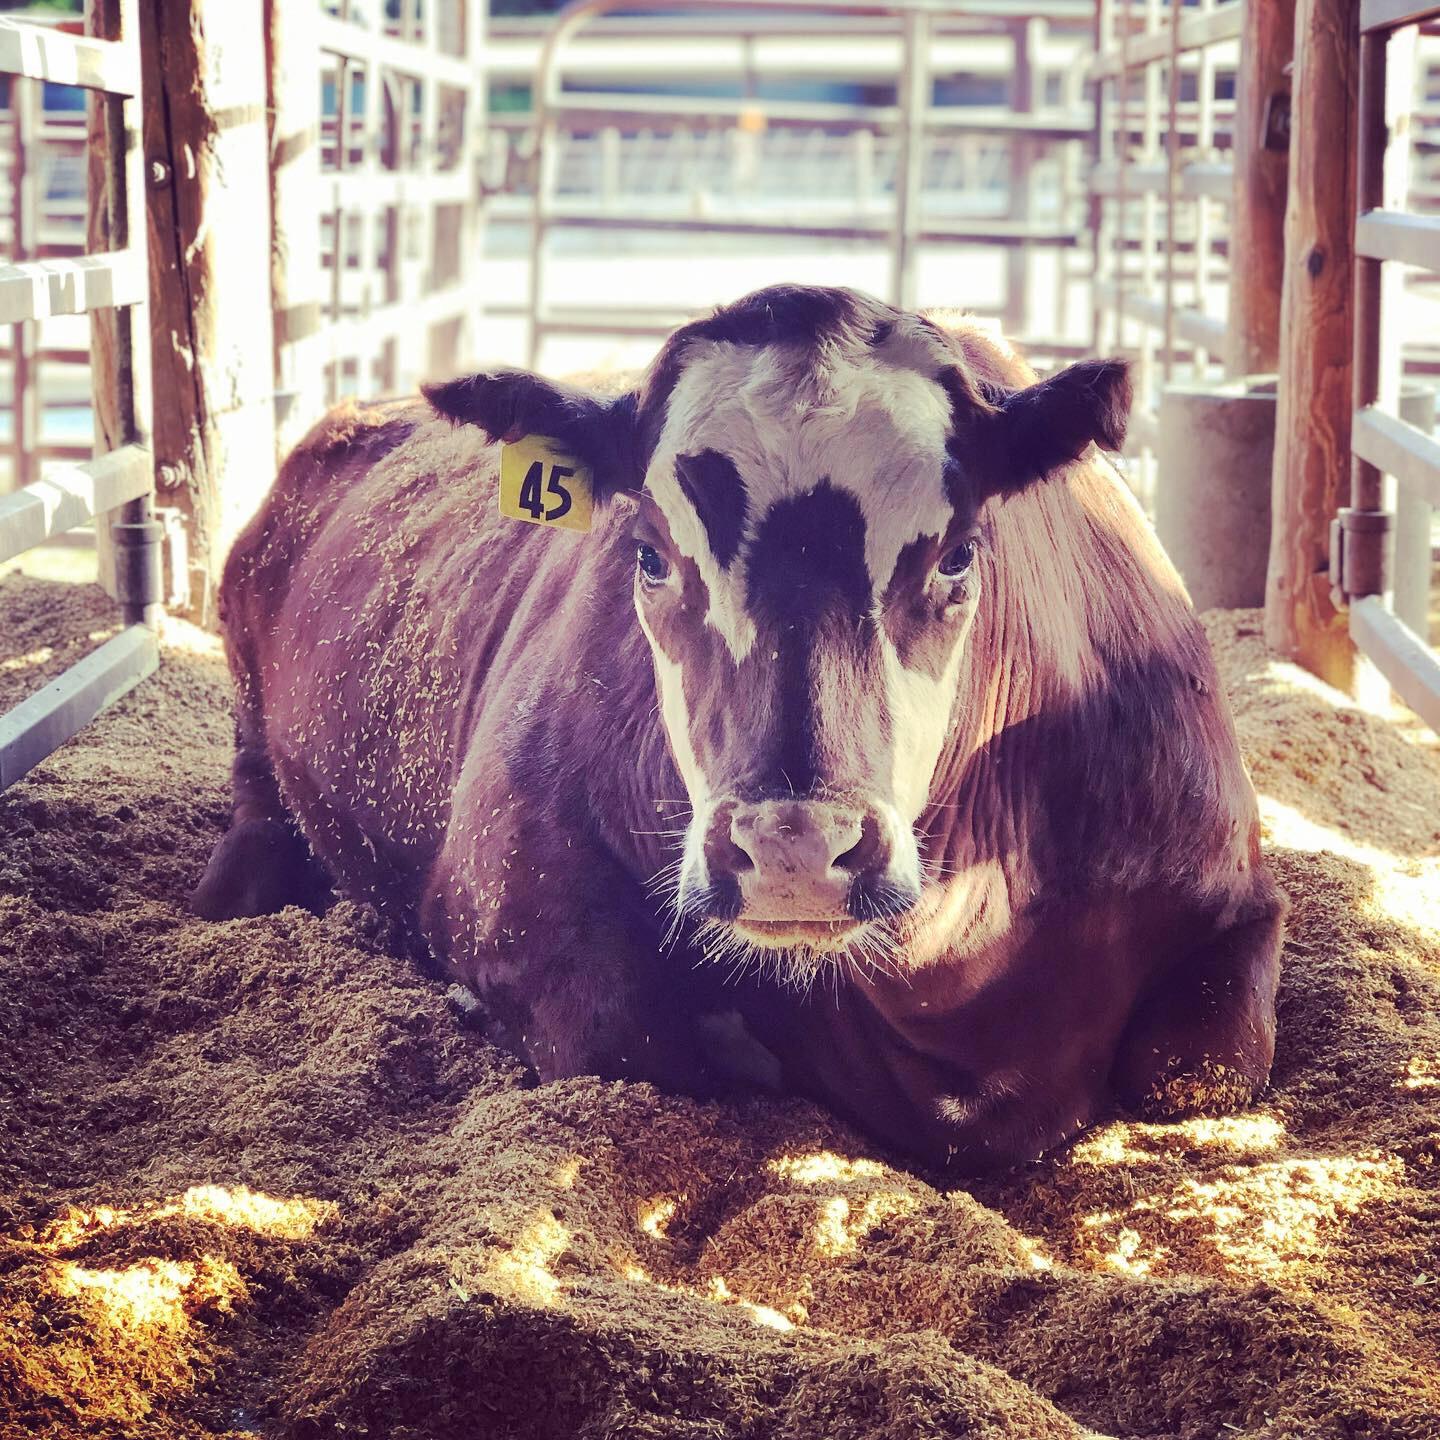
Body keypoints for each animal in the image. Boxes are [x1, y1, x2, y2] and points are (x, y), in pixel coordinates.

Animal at [192, 285, 1284, 1172]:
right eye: (648, 554)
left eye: (959, 554)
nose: (793, 847)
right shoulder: (501, 888)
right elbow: (633, 1035)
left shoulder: (1234, 895)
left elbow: (1203, 1068)